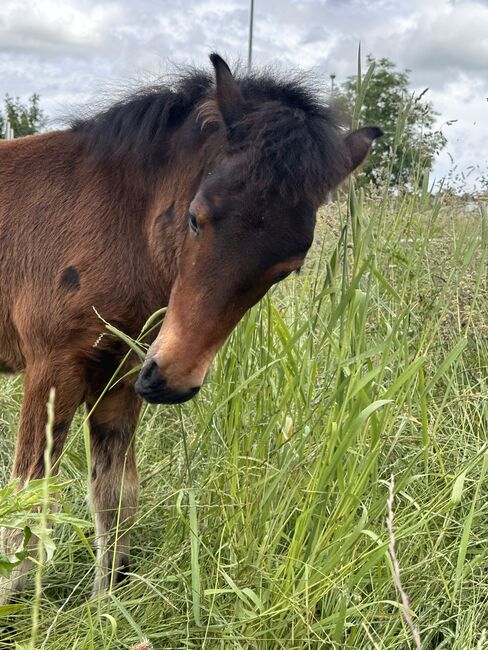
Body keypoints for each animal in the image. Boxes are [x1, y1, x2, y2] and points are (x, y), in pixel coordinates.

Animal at [0, 53, 382, 596]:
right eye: (197, 218)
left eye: (288, 267)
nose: (173, 379)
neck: (118, 223)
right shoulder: (53, 366)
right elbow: (28, 509)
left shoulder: (122, 370)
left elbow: (115, 497)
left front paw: (105, 603)